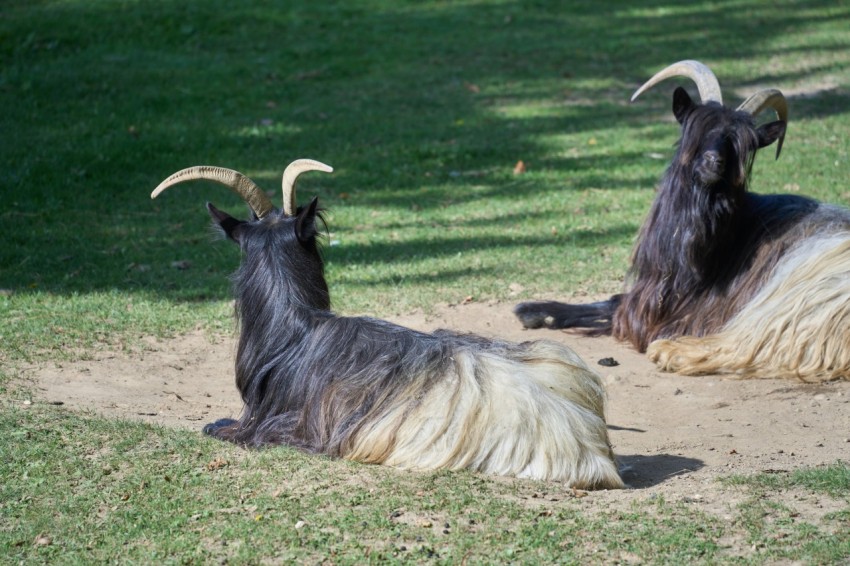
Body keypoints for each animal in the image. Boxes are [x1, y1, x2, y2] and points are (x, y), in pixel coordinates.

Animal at [512, 60, 848, 384]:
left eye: (743, 144)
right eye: (697, 127)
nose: (714, 162)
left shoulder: (674, 312)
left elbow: (620, 309)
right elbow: (613, 300)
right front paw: (534, 311)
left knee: (748, 343)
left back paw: (671, 351)